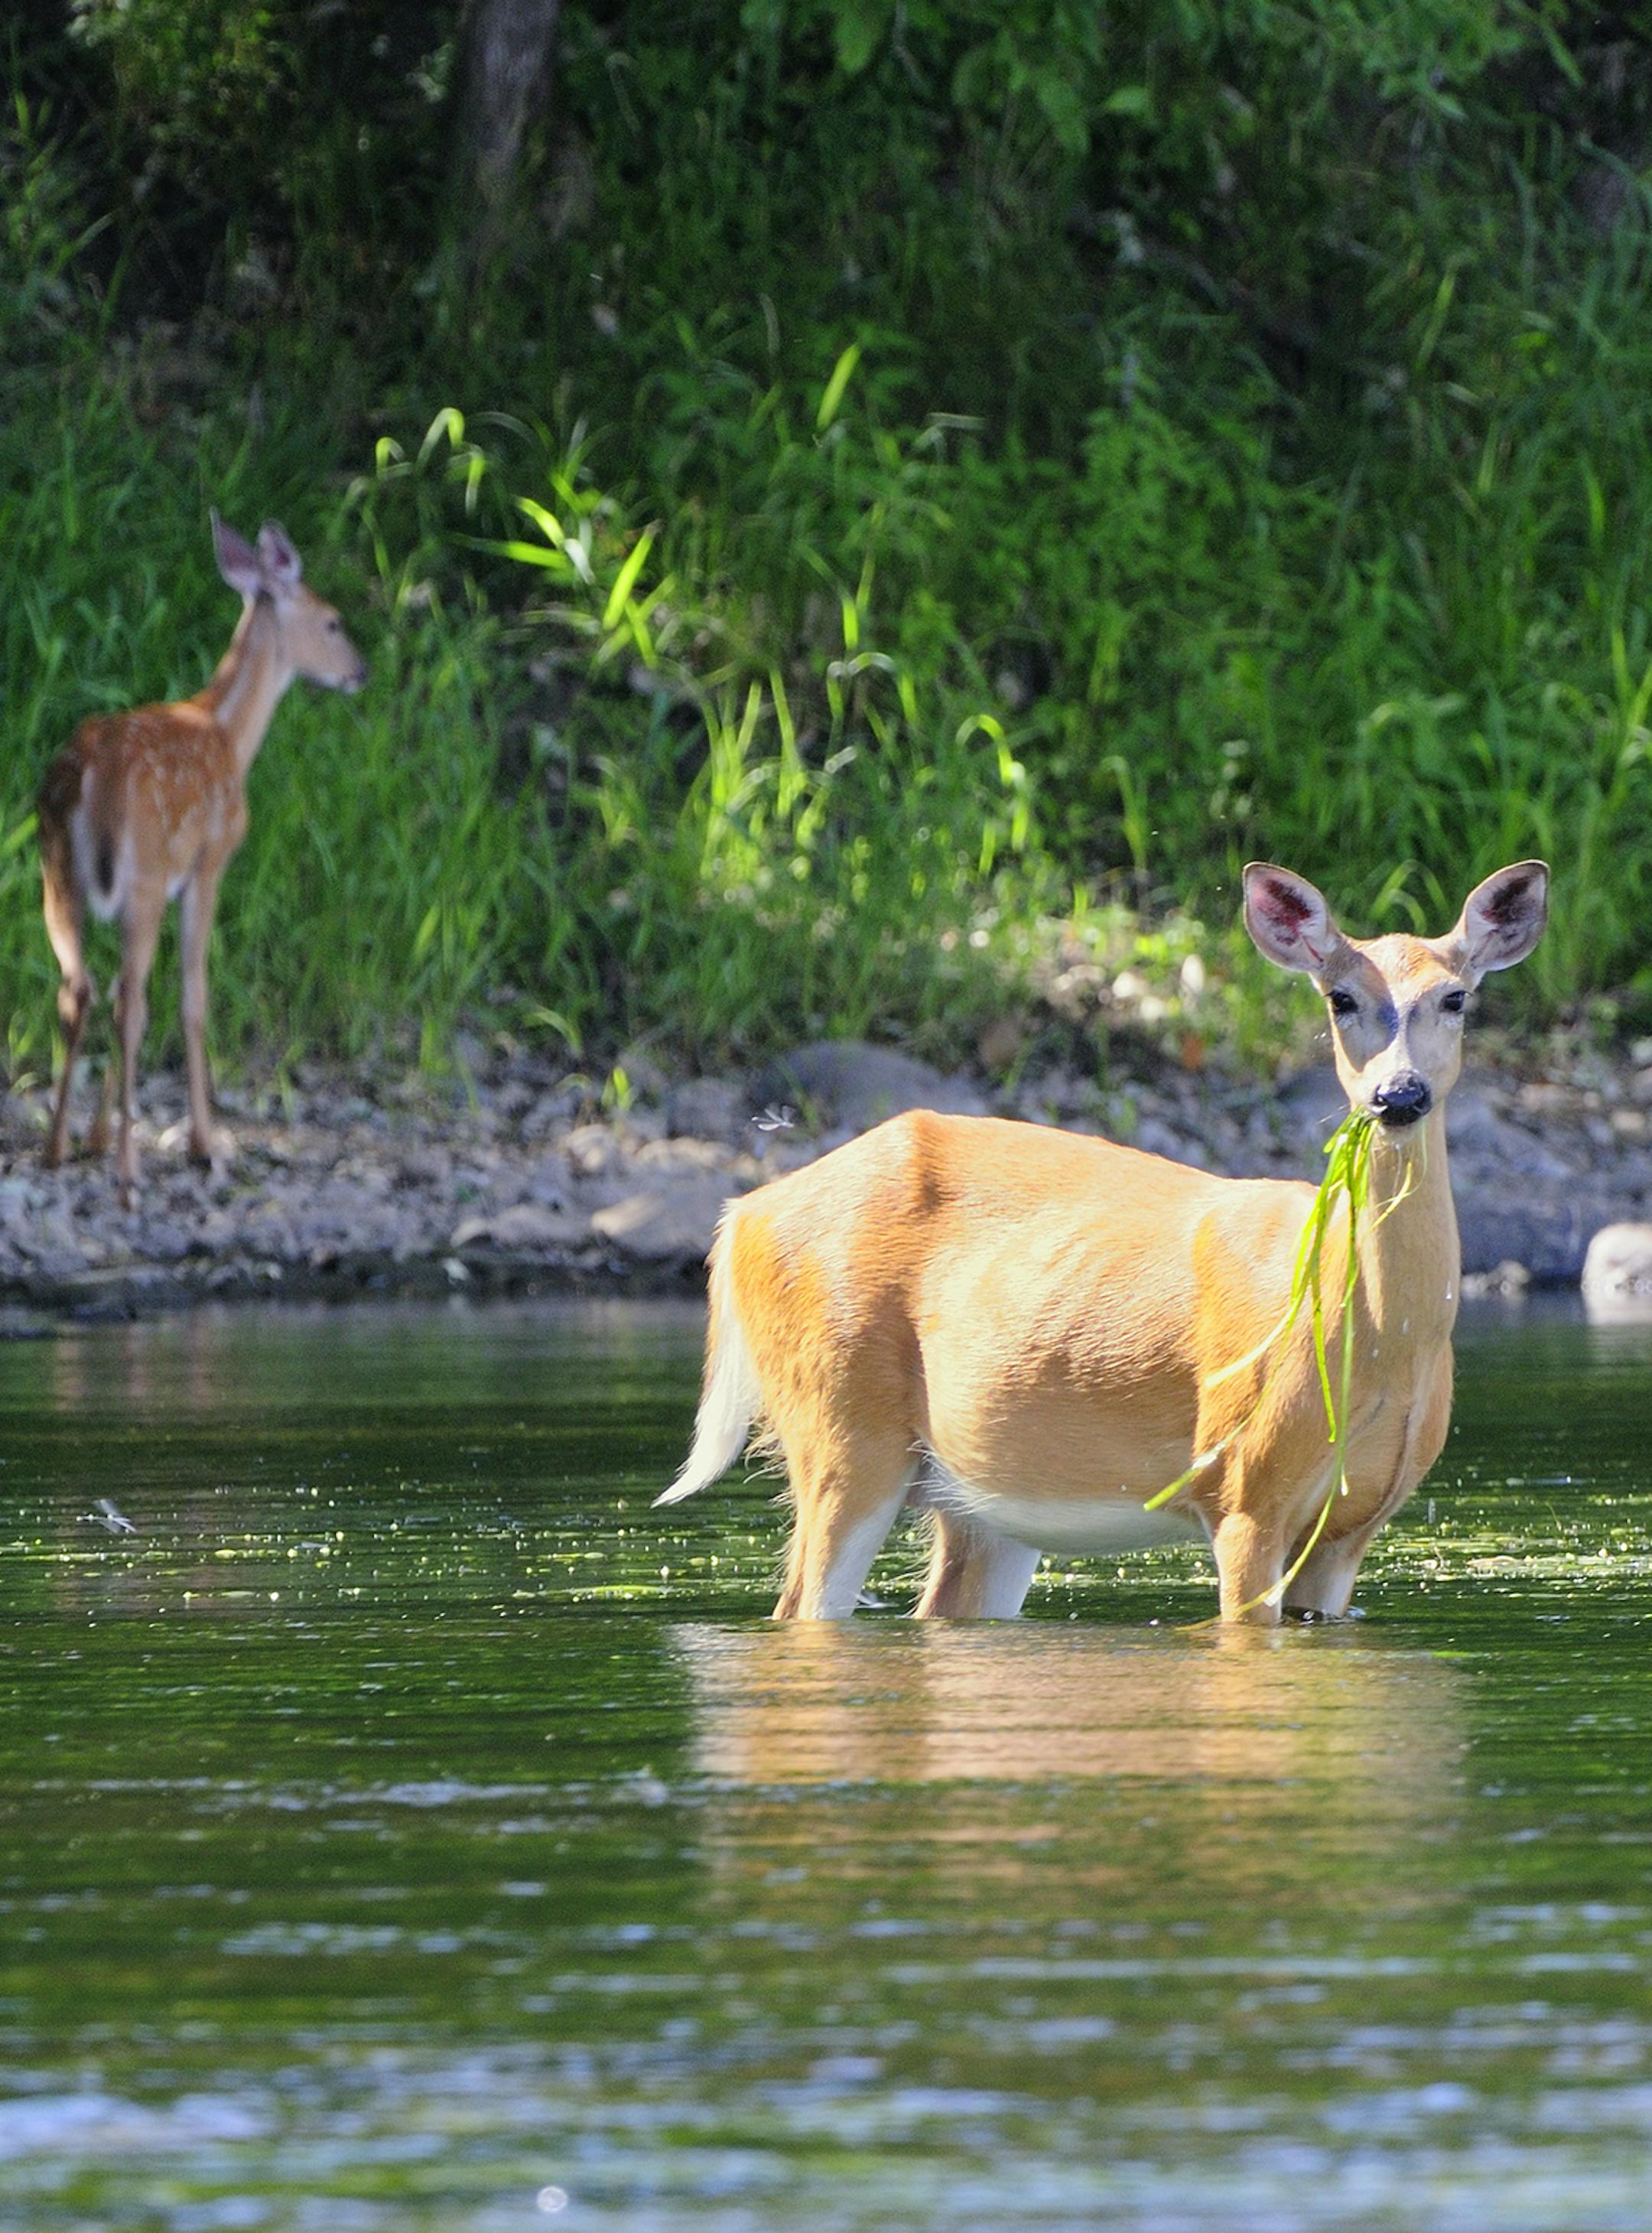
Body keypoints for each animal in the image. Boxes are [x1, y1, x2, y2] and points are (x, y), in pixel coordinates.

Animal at [37, 515, 367, 1201]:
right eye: (332, 621)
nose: (361, 670)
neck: (228, 733)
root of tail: (88, 777)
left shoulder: (166, 880)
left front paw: (97, 1136)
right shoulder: (208, 864)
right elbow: (191, 998)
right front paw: (201, 1142)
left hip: (57, 872)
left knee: (81, 987)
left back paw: (57, 1148)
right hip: (138, 872)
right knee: (125, 1001)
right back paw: (129, 1171)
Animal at [658, 860, 1550, 1624]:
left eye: (1456, 998)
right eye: (1339, 998)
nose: (1398, 1095)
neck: (1380, 1343)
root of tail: (742, 1215)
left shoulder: (1354, 1529)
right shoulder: (1242, 1483)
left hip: (975, 1489)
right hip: (839, 1420)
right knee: (800, 1602)